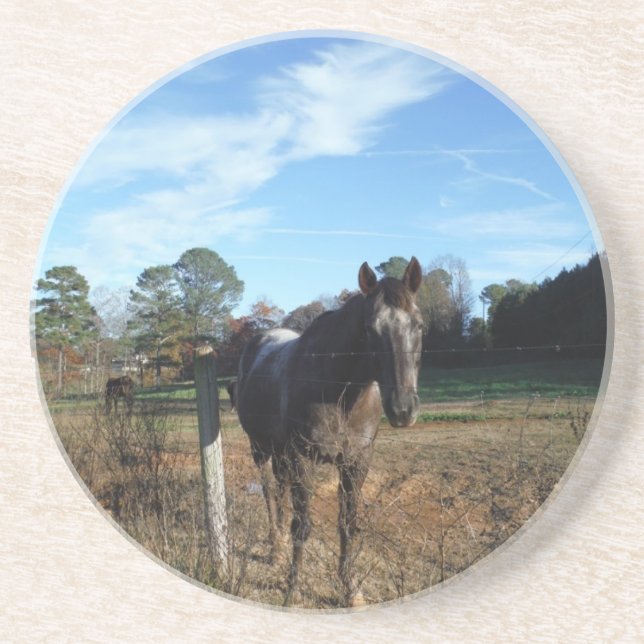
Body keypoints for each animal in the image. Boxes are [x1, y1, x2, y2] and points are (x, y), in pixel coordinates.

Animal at [236, 257, 423, 606]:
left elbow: (347, 525)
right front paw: (292, 589)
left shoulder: (356, 462)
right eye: (370, 328)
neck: (339, 390)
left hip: (281, 455)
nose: (403, 409)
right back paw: (275, 549)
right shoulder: (302, 459)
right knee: (269, 494)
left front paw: (350, 589)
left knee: (279, 491)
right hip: (261, 449)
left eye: (418, 325)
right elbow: (302, 525)